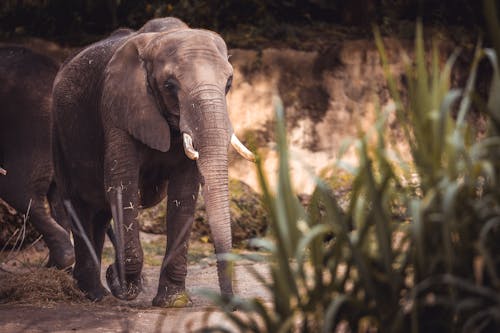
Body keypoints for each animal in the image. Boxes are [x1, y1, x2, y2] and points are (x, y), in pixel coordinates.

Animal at [51, 16, 254, 304]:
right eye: (170, 85)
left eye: (229, 83)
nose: (232, 305)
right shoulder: (116, 108)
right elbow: (122, 183)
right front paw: (125, 284)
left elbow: (184, 193)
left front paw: (173, 302)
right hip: (58, 131)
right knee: (78, 204)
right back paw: (96, 294)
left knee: (99, 211)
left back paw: (99, 291)